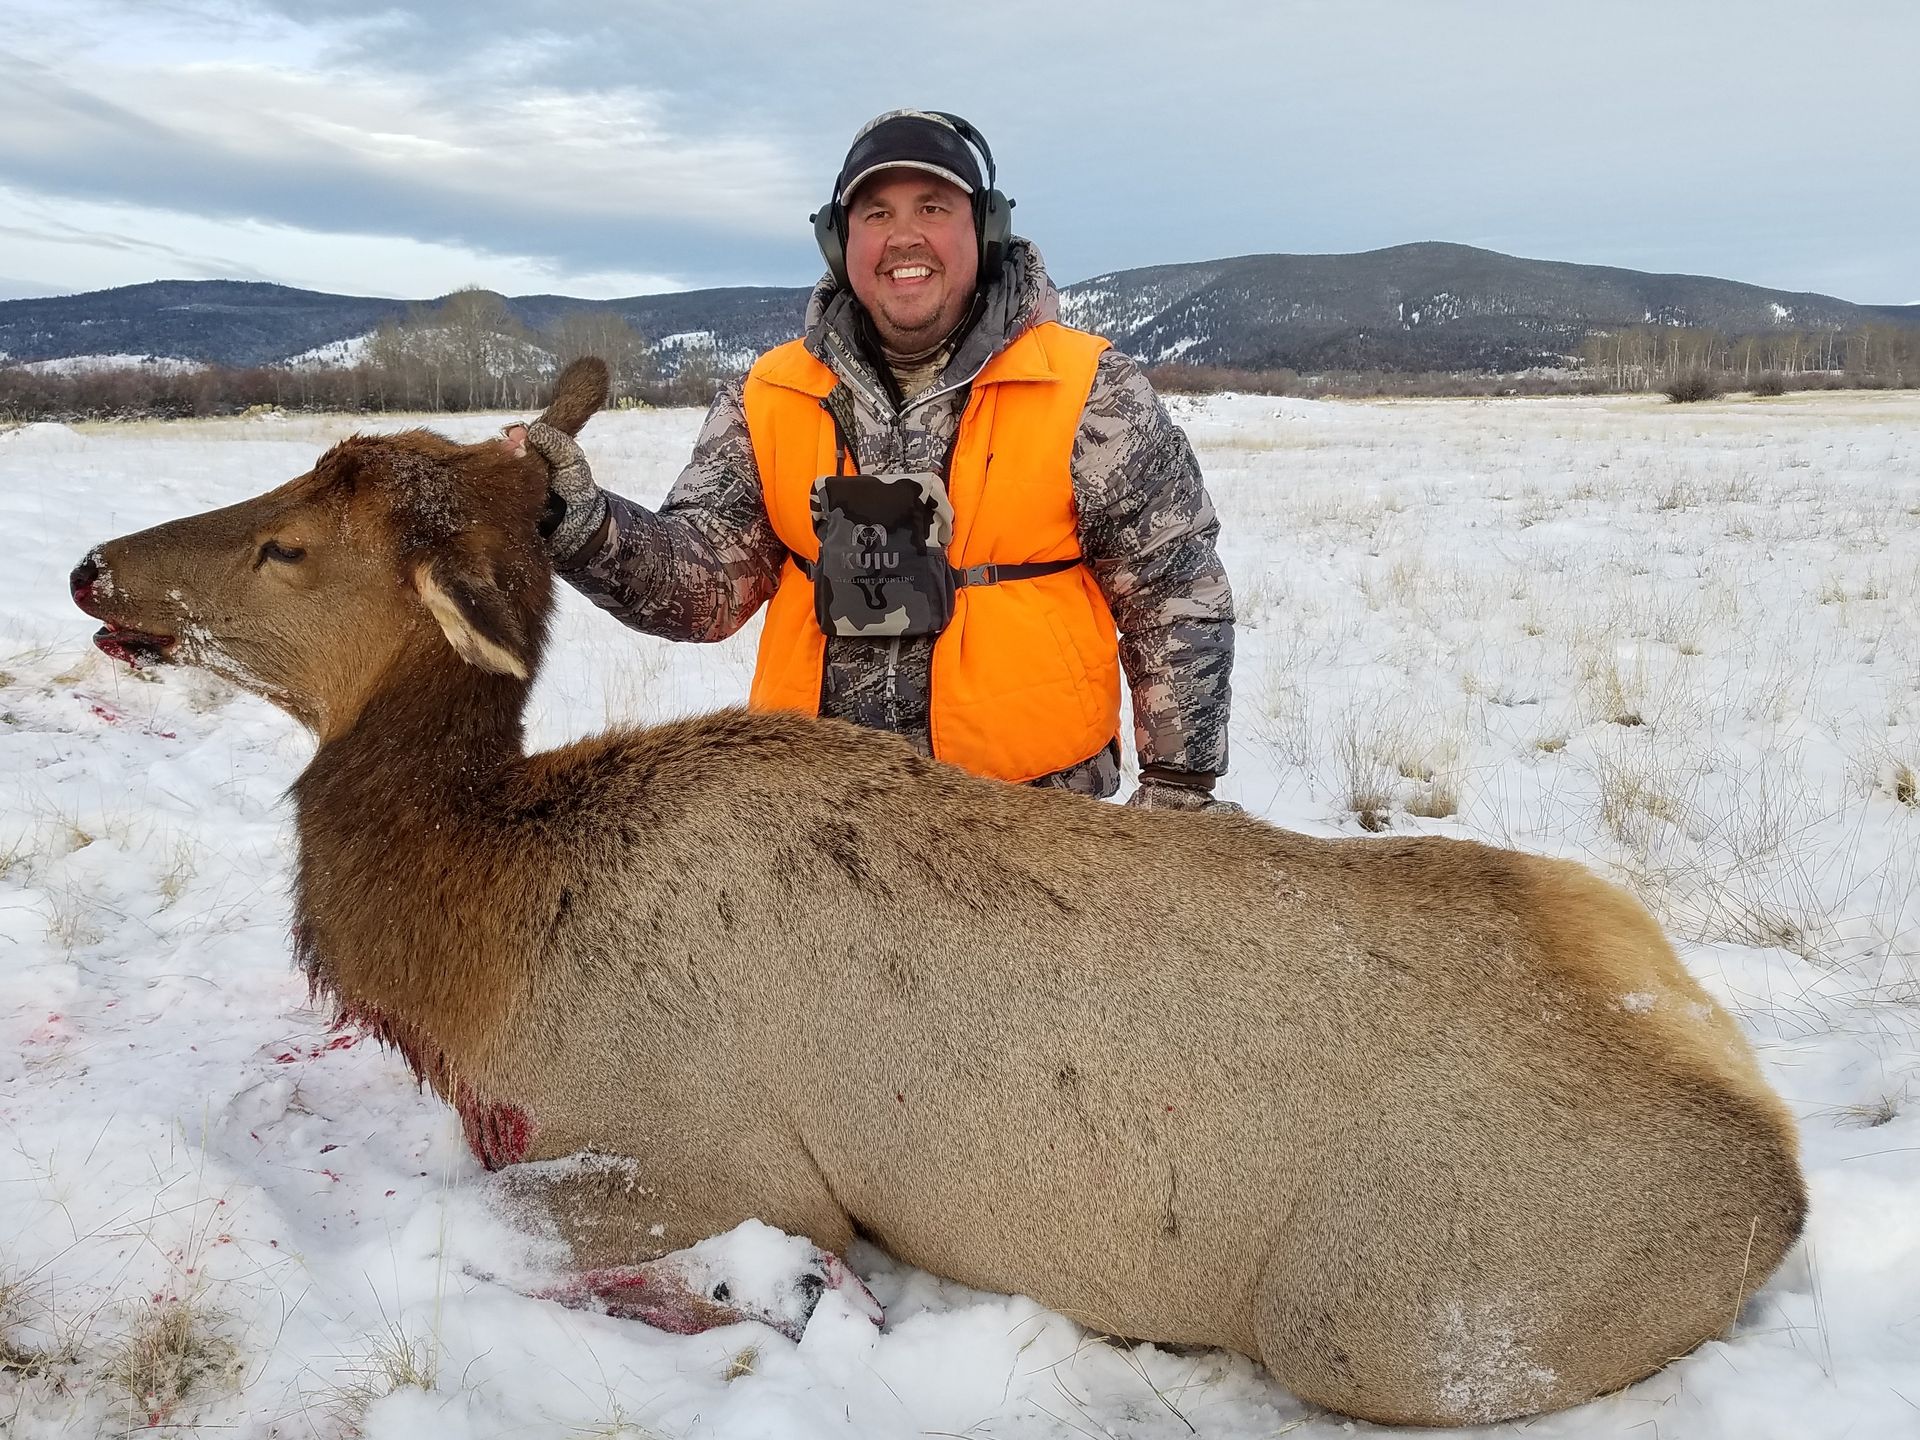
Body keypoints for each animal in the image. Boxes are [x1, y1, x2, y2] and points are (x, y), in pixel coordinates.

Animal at [70, 358, 1806, 1427]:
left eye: (290, 548)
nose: (92, 567)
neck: (475, 947)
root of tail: (1774, 1159)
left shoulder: (691, 1154)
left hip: (1391, 1310)